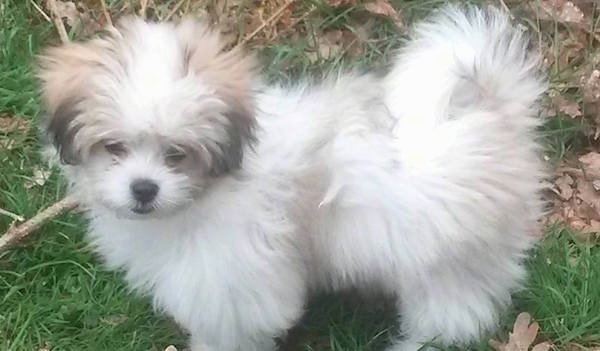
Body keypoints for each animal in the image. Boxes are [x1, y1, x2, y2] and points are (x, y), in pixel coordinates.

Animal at [35, 4, 548, 351]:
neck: (212, 189)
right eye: (114, 148)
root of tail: (494, 114)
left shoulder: (235, 274)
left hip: (447, 260)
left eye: (177, 154)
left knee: (455, 311)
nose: (143, 188)